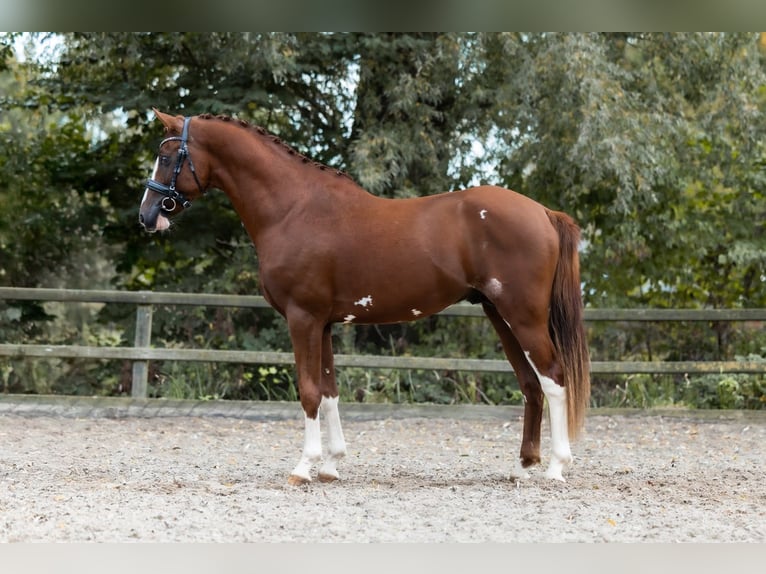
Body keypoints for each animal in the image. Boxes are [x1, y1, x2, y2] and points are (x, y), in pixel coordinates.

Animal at [139, 109, 591, 484]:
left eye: (166, 156)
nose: (147, 216)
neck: (293, 209)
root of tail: (544, 213)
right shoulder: (323, 324)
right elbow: (329, 391)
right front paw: (331, 465)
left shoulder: (302, 318)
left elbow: (308, 390)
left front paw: (303, 467)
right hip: (500, 315)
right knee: (530, 383)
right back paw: (525, 465)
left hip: (524, 316)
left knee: (554, 379)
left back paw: (556, 468)